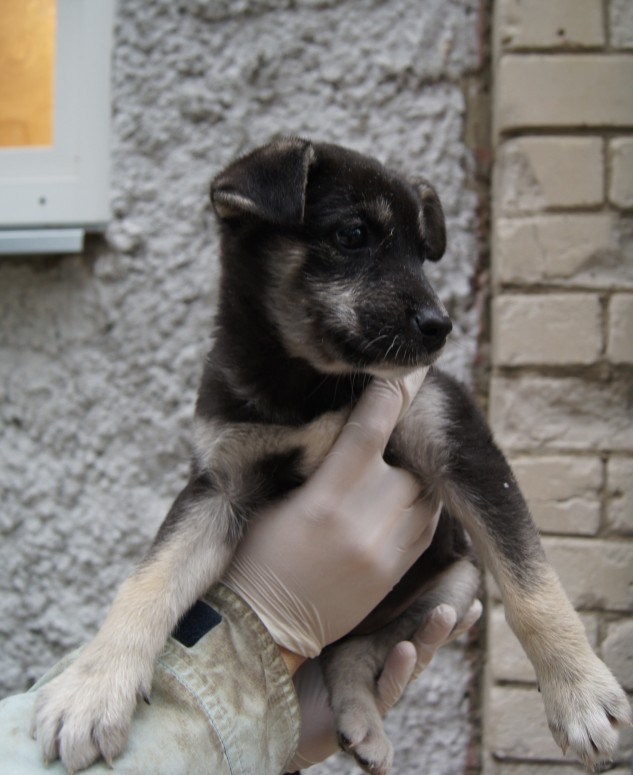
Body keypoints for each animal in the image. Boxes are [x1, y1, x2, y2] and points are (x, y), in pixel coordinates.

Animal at [33, 138, 631, 774]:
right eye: (353, 235)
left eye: (423, 254)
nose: (441, 326)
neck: (313, 384)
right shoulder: (219, 485)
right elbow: (149, 581)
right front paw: (91, 689)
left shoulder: (462, 448)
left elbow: (532, 584)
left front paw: (580, 694)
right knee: (343, 650)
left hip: (455, 583)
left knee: (358, 648)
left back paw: (362, 719)